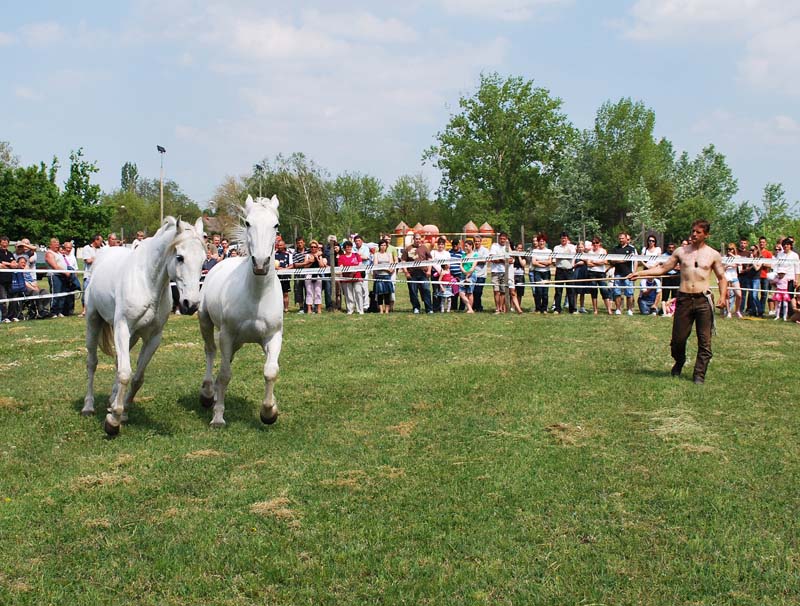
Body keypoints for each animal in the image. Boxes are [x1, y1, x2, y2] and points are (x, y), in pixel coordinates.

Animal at [83, 216, 206, 436]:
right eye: (180, 257)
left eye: (203, 260)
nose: (190, 304)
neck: (147, 282)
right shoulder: (123, 328)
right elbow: (125, 374)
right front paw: (113, 422)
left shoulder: (153, 337)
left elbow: (137, 377)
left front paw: (121, 411)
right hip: (94, 322)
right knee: (92, 363)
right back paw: (88, 406)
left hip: (132, 337)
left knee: (117, 362)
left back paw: (112, 400)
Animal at [198, 194, 283, 428]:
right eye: (247, 223)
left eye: (276, 225)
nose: (261, 263)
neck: (256, 296)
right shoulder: (227, 335)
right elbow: (225, 374)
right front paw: (218, 417)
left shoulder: (273, 336)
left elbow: (270, 371)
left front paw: (269, 412)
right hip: (206, 322)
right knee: (211, 353)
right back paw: (208, 394)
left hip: (237, 342)